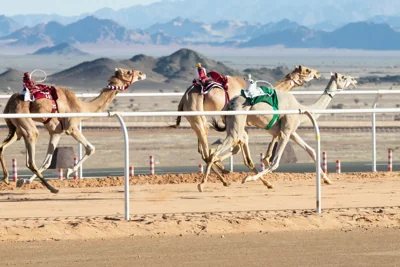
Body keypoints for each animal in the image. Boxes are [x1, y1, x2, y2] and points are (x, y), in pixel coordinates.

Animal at [0, 67, 147, 193]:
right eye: (129, 72)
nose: (142, 73)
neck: (83, 107)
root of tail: (10, 102)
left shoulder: (56, 131)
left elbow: (47, 162)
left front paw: (24, 181)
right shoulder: (71, 127)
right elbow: (91, 148)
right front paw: (68, 172)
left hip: (16, 127)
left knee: (3, 146)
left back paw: (7, 178)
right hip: (25, 121)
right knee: (30, 156)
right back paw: (53, 189)